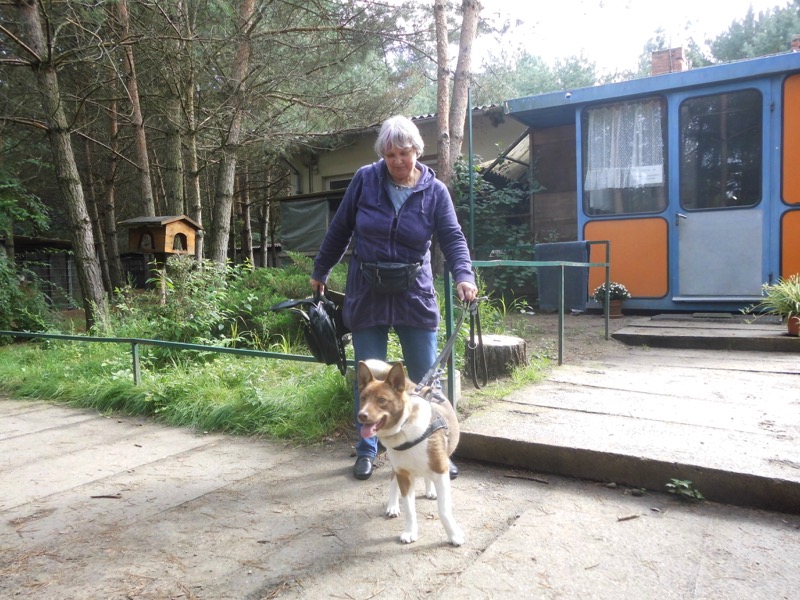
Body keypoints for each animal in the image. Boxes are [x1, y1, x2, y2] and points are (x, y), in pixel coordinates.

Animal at [357, 359, 463, 546]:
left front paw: (453, 535)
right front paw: (410, 532)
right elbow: (409, 509)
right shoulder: (404, 476)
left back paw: (430, 490)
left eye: (382, 400)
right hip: (396, 467)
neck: (404, 427)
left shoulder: (441, 472)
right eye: (363, 398)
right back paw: (392, 506)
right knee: (393, 481)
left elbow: (443, 510)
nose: (361, 415)